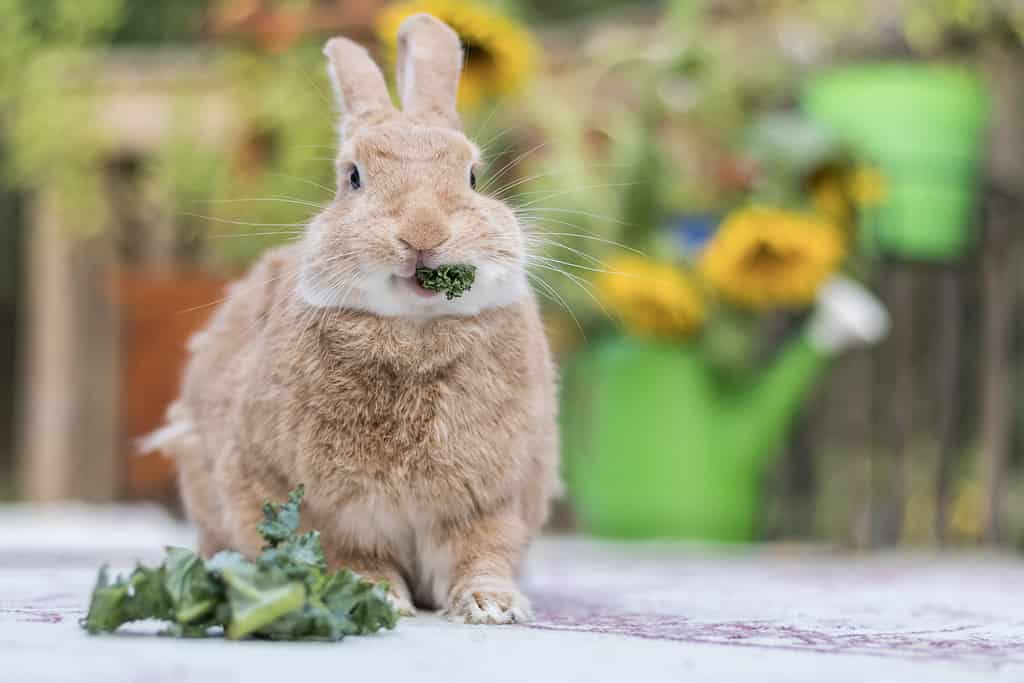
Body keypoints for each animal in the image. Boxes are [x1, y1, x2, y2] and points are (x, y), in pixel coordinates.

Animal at [147, 14, 560, 625]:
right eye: (354, 177)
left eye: (473, 177)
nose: (423, 232)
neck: (413, 331)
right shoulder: (320, 505)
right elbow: (349, 554)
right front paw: (376, 595)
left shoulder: (491, 501)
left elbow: (481, 553)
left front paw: (493, 605)